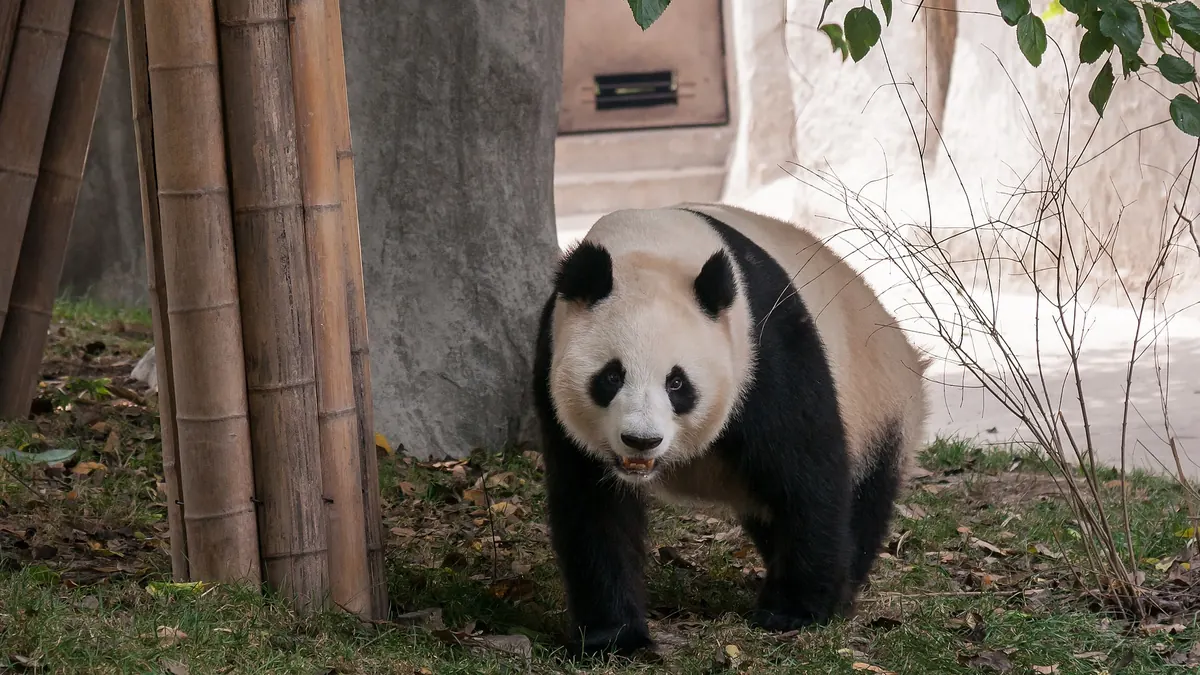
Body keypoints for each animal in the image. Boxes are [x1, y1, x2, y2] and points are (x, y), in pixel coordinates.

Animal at [531, 202, 930, 656]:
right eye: (611, 377)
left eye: (677, 383)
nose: (641, 441)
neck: (650, 246)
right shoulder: (552, 362)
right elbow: (594, 509)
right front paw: (614, 637)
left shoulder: (764, 348)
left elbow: (806, 475)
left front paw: (795, 612)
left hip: (879, 408)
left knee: (863, 497)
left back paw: (842, 588)